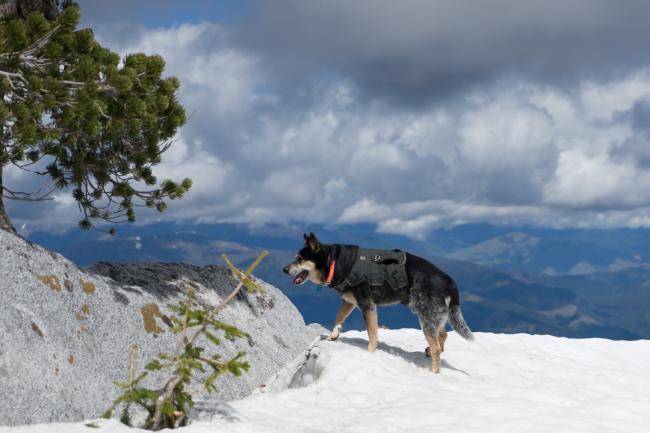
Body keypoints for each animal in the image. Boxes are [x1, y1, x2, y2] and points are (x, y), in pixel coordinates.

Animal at [282, 233, 470, 372]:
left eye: (300, 259)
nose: (284, 270)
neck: (335, 262)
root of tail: (448, 281)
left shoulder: (367, 306)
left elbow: (372, 335)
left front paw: (370, 355)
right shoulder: (349, 301)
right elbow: (339, 317)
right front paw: (333, 336)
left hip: (425, 315)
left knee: (438, 344)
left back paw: (433, 371)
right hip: (431, 314)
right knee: (442, 335)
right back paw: (429, 351)